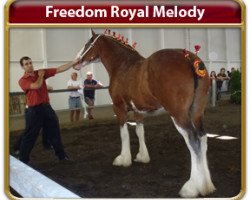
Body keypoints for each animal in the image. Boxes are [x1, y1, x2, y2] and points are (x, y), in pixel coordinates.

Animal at [73, 28, 215, 198]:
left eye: (88, 44)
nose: (76, 62)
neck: (123, 66)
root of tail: (189, 59)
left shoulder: (119, 108)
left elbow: (124, 134)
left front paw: (124, 159)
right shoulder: (138, 111)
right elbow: (140, 131)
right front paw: (142, 156)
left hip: (179, 114)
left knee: (193, 141)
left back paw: (191, 188)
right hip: (197, 113)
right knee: (203, 138)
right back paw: (206, 185)